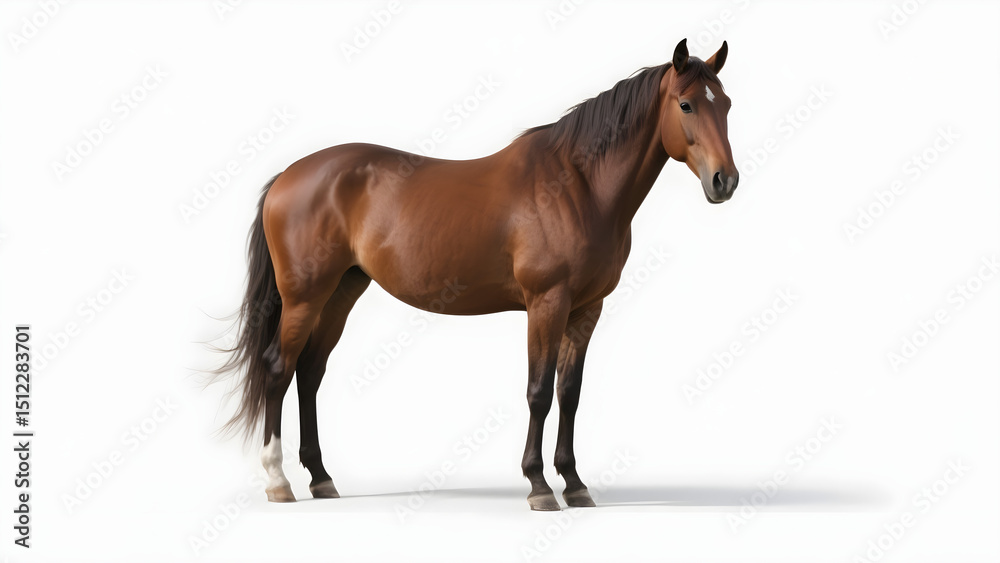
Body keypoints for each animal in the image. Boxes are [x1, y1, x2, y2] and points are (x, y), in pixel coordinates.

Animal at [214, 38, 738, 511]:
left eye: (727, 104)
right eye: (686, 104)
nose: (725, 181)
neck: (578, 185)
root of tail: (287, 176)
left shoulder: (587, 309)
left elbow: (569, 394)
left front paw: (575, 484)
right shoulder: (546, 303)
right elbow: (538, 393)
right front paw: (539, 486)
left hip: (342, 292)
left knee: (309, 373)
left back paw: (322, 478)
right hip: (304, 297)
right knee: (279, 369)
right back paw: (278, 482)